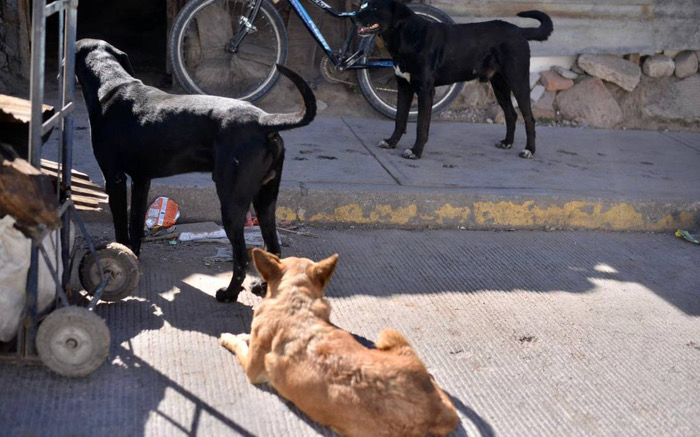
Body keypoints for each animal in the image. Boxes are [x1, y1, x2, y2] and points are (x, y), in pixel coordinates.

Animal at [75, 39, 316, 302]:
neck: (110, 83)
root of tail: (264, 122)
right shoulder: (141, 179)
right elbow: (135, 223)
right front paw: (133, 255)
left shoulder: (114, 178)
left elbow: (121, 225)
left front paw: (118, 257)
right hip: (265, 198)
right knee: (273, 246)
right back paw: (263, 288)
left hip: (232, 203)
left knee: (241, 257)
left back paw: (228, 294)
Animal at [219, 249, 460, 436]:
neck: (296, 303)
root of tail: (436, 410)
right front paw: (244, 335)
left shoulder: (252, 368)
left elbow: (239, 345)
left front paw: (231, 337)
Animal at [358, 0, 556, 159]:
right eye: (364, 6)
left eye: (374, 8)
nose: (354, 17)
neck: (409, 37)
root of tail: (519, 31)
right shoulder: (404, 86)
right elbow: (399, 120)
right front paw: (391, 142)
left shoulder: (425, 90)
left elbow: (421, 126)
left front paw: (415, 151)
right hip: (499, 85)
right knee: (511, 114)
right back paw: (507, 142)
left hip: (517, 80)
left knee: (529, 118)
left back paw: (529, 150)